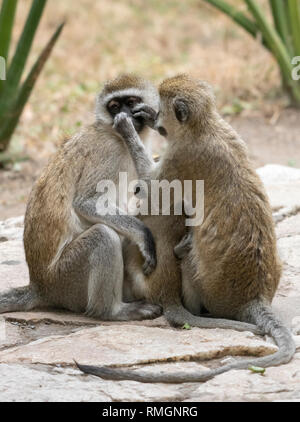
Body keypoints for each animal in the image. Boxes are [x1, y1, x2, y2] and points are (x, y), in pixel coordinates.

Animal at [0, 74, 162, 322]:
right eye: (114, 106)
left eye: (131, 102)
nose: (123, 115)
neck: (114, 134)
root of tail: (40, 286)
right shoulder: (107, 153)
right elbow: (86, 203)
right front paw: (143, 235)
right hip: (66, 279)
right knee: (103, 235)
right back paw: (113, 311)